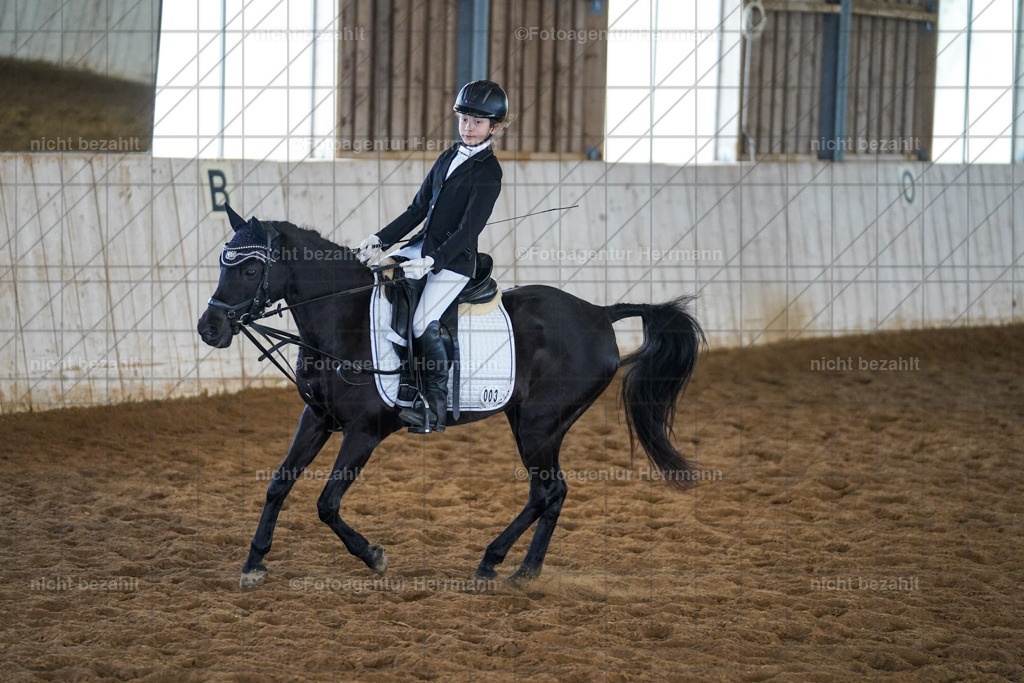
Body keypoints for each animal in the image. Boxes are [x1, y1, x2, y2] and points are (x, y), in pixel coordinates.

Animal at [197, 209, 706, 588]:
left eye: (250, 268)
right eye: (223, 264)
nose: (209, 328)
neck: (345, 320)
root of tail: (600, 313)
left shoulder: (364, 432)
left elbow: (326, 502)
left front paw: (374, 555)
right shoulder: (317, 418)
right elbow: (278, 483)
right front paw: (254, 563)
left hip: (539, 425)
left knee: (549, 490)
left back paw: (499, 563)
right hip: (533, 423)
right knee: (549, 493)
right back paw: (519, 568)